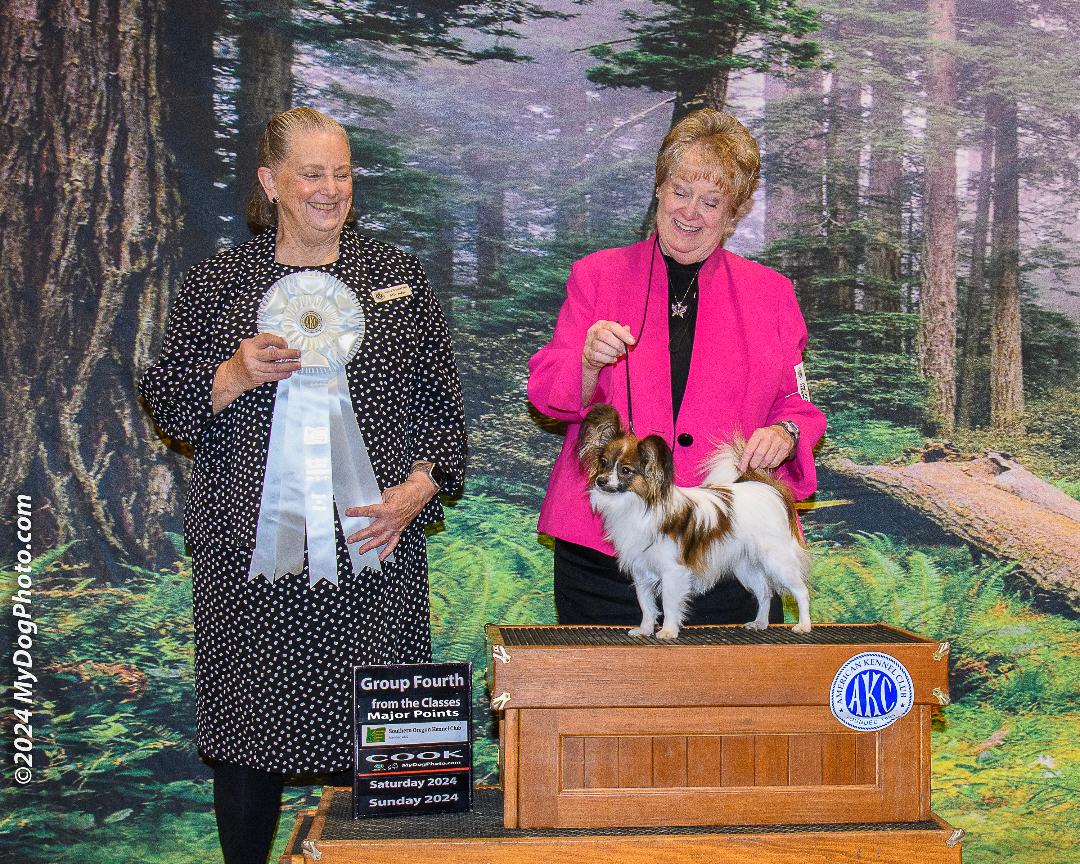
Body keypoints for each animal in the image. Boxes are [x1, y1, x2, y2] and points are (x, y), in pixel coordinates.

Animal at [577, 404, 811, 639]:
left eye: (625, 470)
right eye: (603, 464)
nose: (600, 481)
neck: (640, 506)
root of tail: (767, 488)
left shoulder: (673, 571)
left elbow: (668, 603)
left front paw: (668, 631)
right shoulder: (641, 571)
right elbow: (646, 605)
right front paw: (645, 629)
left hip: (777, 560)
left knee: (801, 591)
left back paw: (804, 625)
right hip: (746, 566)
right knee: (764, 593)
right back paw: (760, 623)